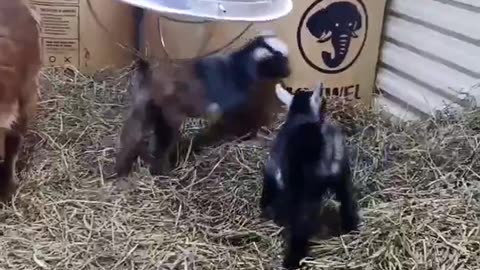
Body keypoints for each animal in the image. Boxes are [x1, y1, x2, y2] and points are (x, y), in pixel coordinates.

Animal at [260, 84, 358, 268]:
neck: (301, 114)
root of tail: (326, 144)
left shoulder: (275, 167)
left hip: (306, 190)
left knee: (301, 223)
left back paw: (291, 260)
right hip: (343, 177)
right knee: (348, 202)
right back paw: (351, 229)